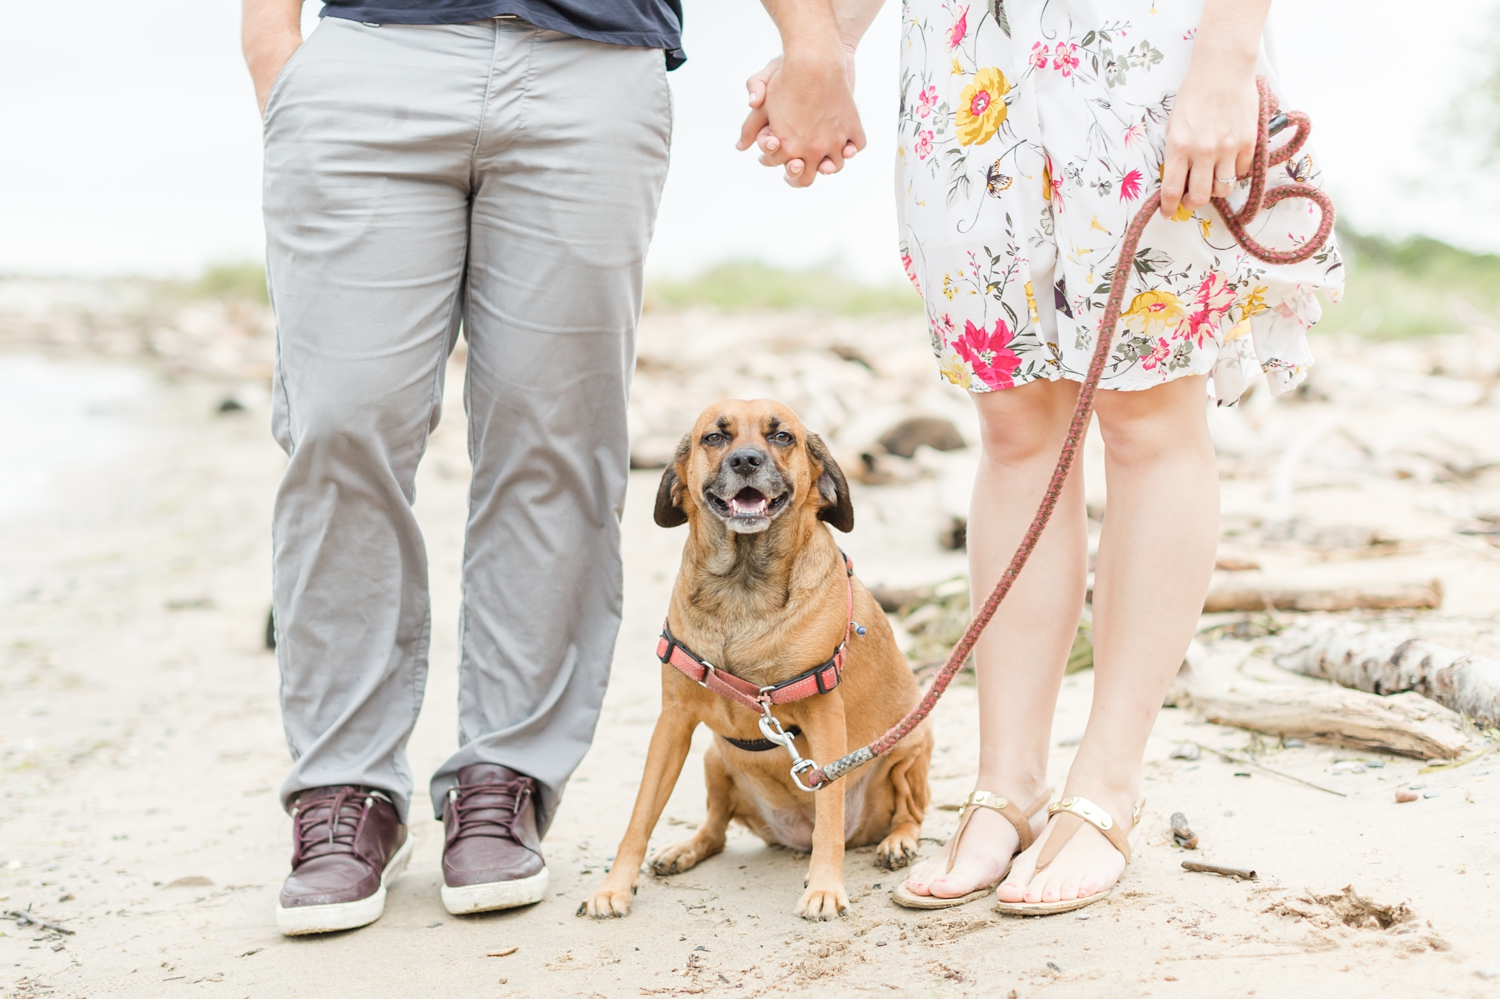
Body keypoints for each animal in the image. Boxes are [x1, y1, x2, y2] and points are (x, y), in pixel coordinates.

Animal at [579, 396, 930, 918]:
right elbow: (640, 815)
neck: (741, 587)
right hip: (712, 758)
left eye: (782, 436)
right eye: (714, 437)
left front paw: (825, 888)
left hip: (911, 745)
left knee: (908, 812)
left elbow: (829, 817)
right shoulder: (673, 722)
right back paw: (684, 850)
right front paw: (614, 887)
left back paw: (897, 843)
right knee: (717, 830)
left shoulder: (825, 720)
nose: (746, 460)